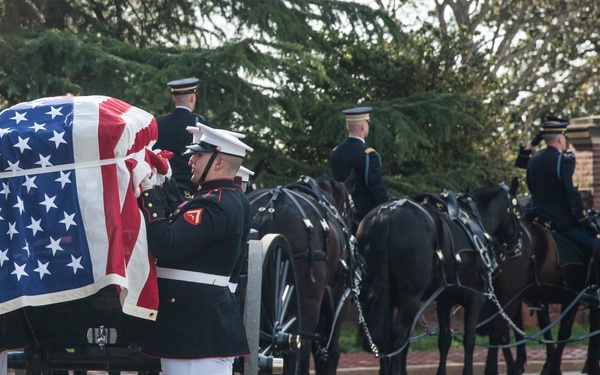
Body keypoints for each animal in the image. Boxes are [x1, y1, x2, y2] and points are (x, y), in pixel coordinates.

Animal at [356, 182, 520, 375]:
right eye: (517, 212)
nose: (518, 247)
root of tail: (387, 216)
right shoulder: (475, 298)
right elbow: (469, 340)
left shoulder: (444, 300)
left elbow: (444, 340)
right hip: (410, 298)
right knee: (398, 334)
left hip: (383, 297)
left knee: (383, 337)